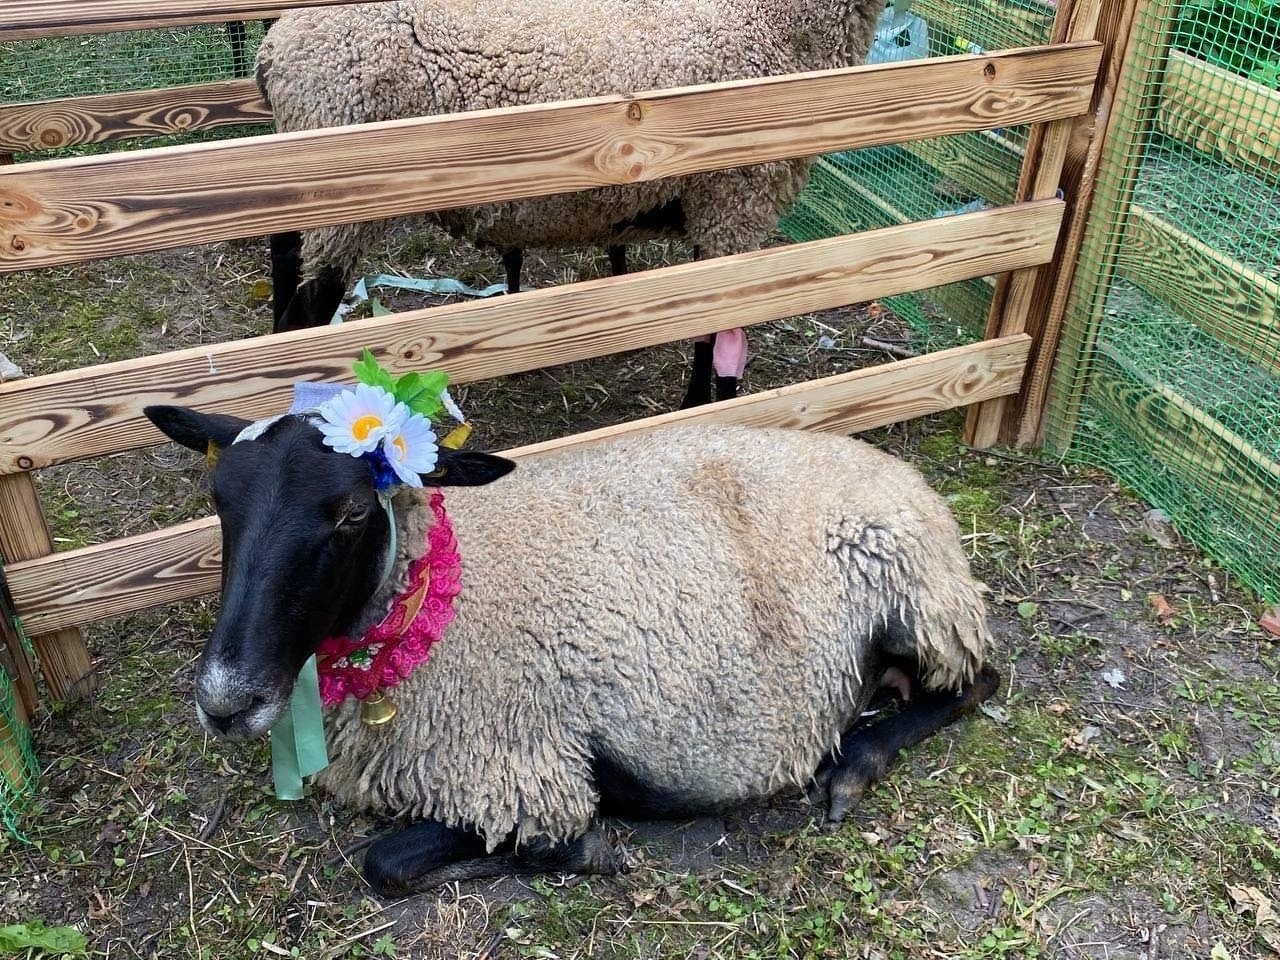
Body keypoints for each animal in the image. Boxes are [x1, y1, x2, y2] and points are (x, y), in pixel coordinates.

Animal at [144, 393, 998, 896]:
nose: (226, 700)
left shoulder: (526, 769)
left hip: (919, 598)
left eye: (354, 512)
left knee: (977, 682)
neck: (436, 592)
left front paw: (586, 850)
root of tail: (897, 470)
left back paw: (855, 763)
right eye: (219, 499)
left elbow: (390, 863)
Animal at [256, 0, 886, 406]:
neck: (773, 23)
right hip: (340, 195)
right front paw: (707, 408)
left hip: (294, 192)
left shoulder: (721, 213)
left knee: (285, 268)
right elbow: (718, 330)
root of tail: (275, 48)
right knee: (307, 319)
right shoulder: (735, 202)